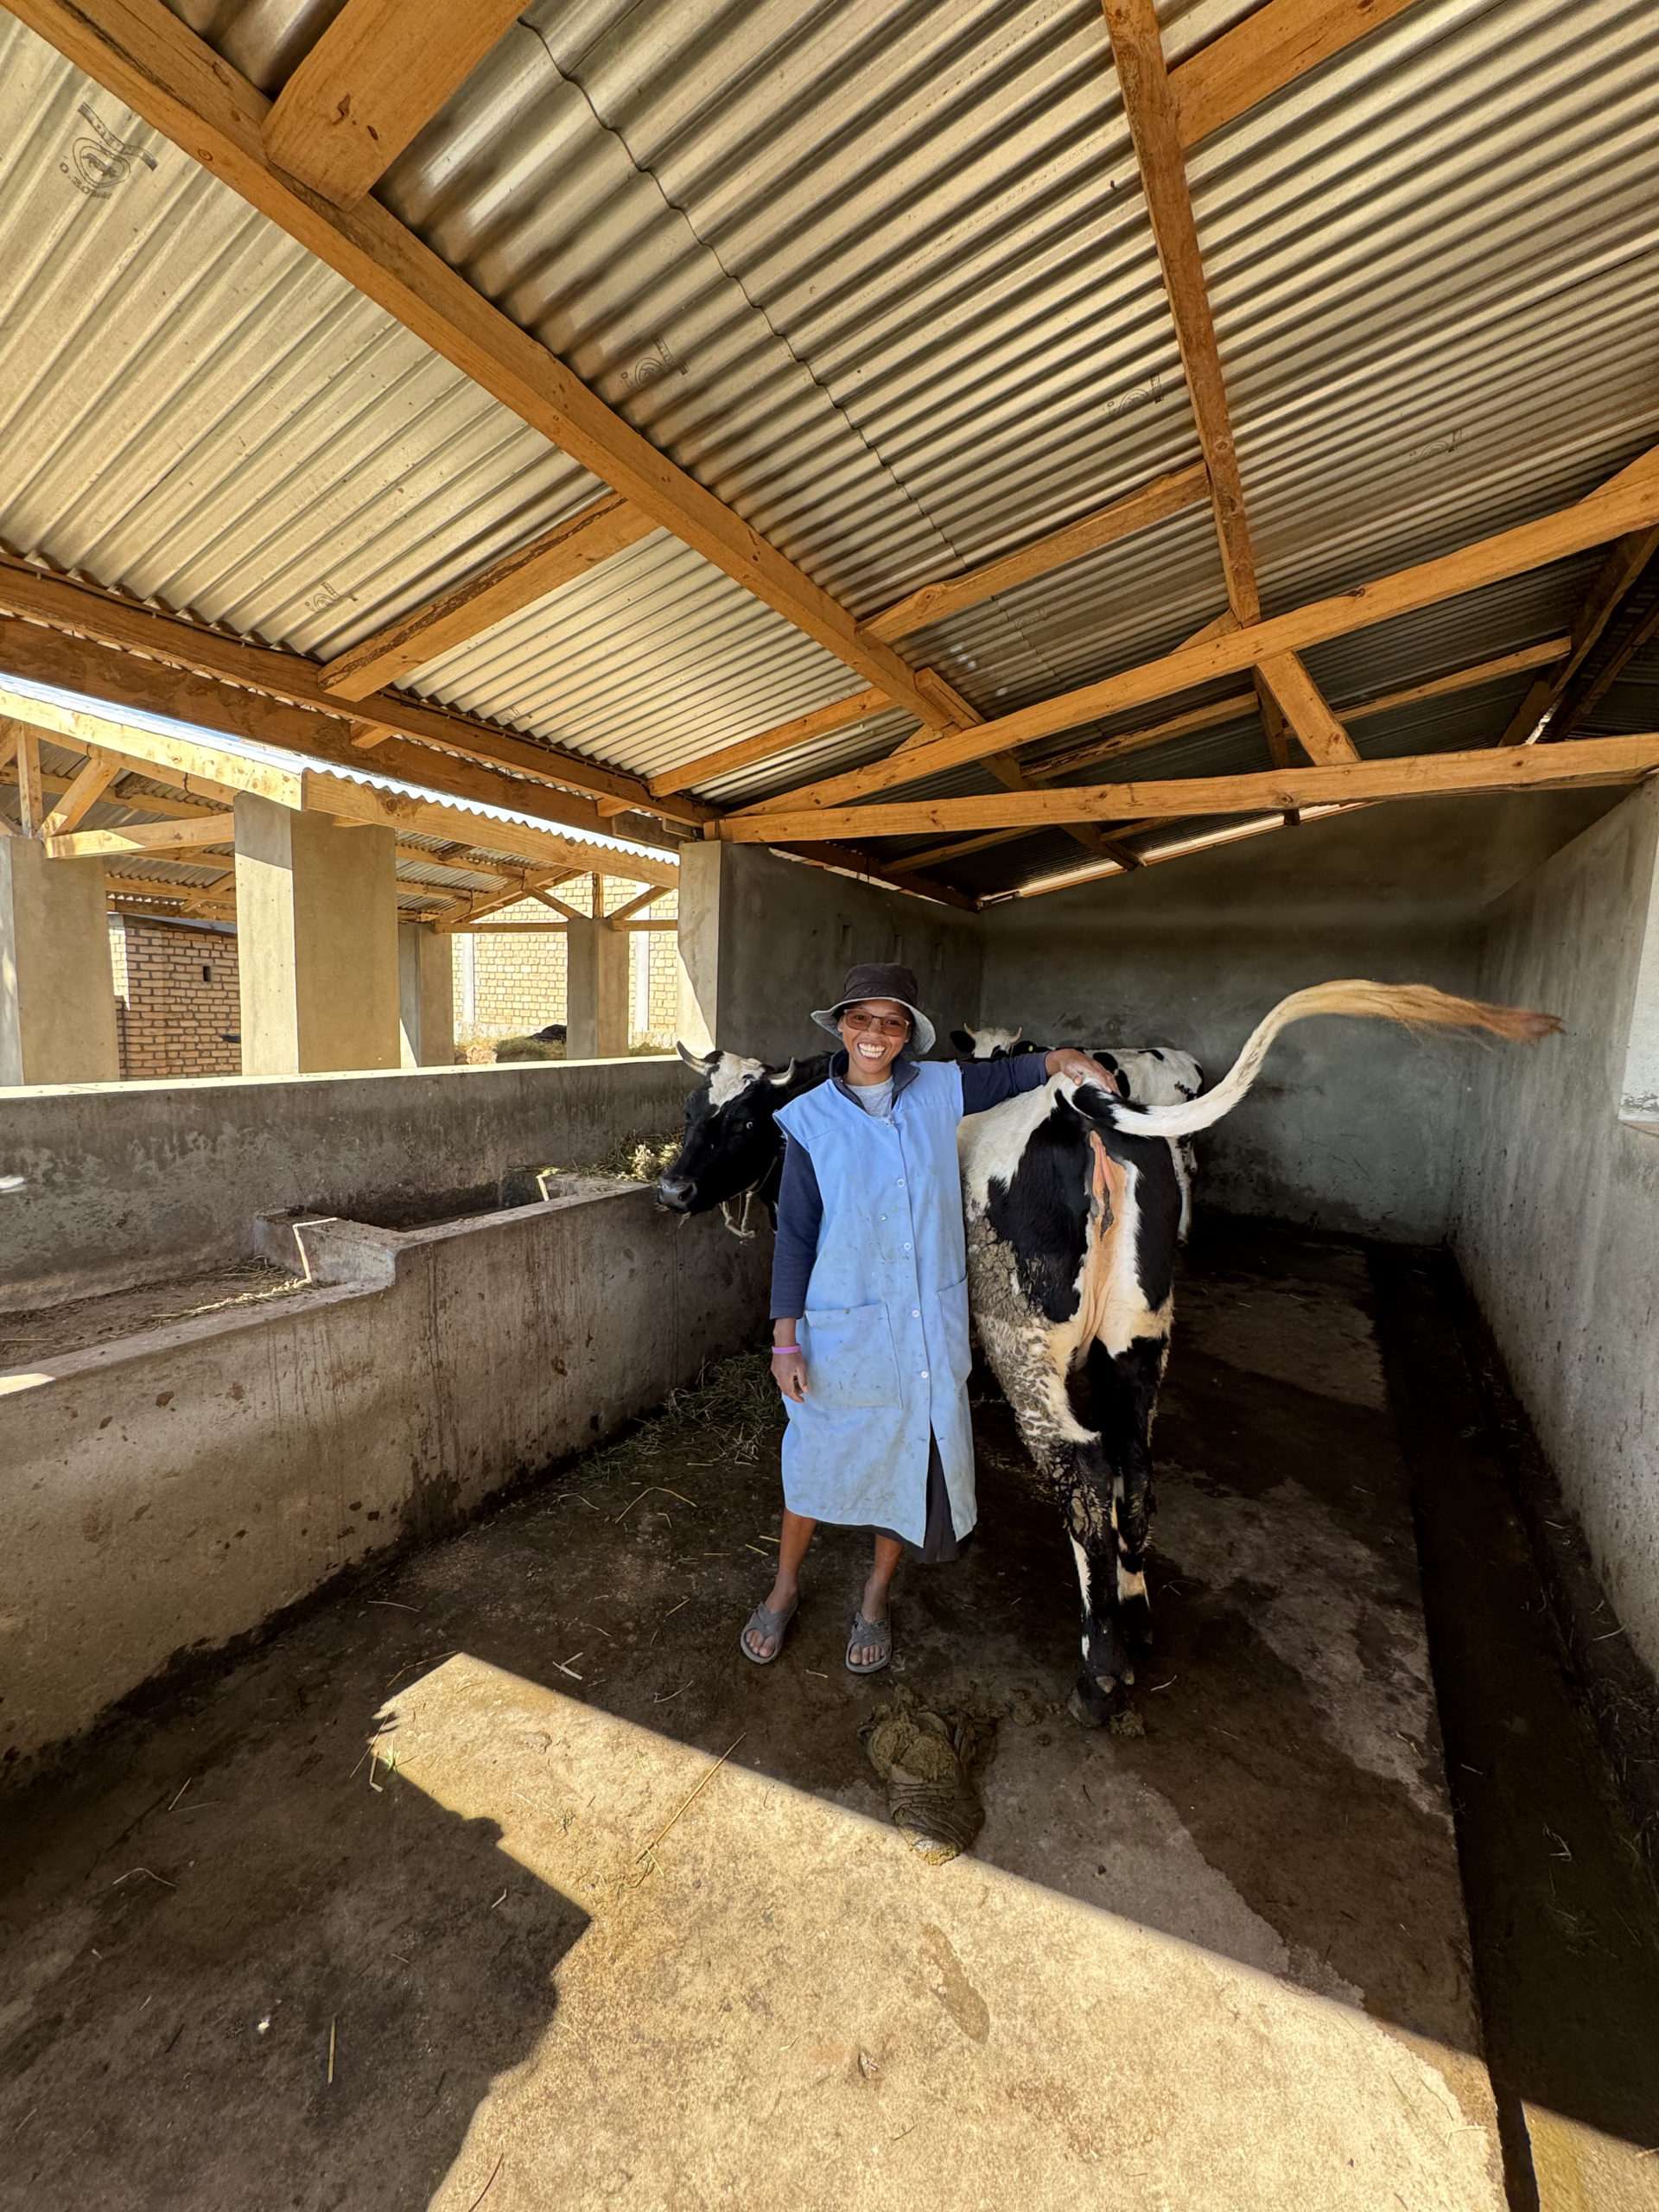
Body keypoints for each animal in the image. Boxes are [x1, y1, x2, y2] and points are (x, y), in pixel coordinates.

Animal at [661, 981, 1559, 1724]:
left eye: (746, 1121)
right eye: (688, 1112)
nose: (670, 1190)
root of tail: (1078, 1101)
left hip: (1029, 1341)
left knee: (1086, 1468)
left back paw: (1100, 1669)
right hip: (1139, 1338)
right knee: (1133, 1463)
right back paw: (1138, 1618)